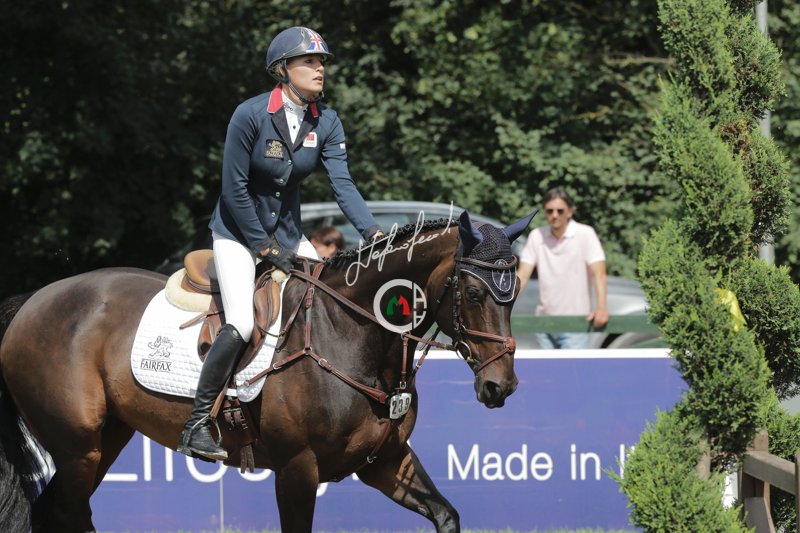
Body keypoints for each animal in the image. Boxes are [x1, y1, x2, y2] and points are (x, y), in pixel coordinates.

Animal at [0, 209, 533, 532]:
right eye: (474, 293)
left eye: (516, 296)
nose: (500, 386)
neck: (355, 334)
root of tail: (34, 299)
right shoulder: (298, 469)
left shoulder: (386, 462)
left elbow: (446, 514)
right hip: (77, 445)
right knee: (67, 512)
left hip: (105, 439)